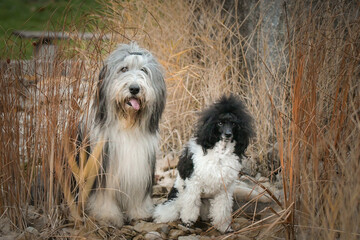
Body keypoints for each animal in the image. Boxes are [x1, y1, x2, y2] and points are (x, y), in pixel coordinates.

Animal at [77, 42, 166, 227]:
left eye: (144, 70)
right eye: (123, 69)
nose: (134, 88)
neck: (127, 125)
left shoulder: (140, 170)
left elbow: (138, 195)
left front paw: (139, 212)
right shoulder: (103, 169)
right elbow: (105, 195)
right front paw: (107, 215)